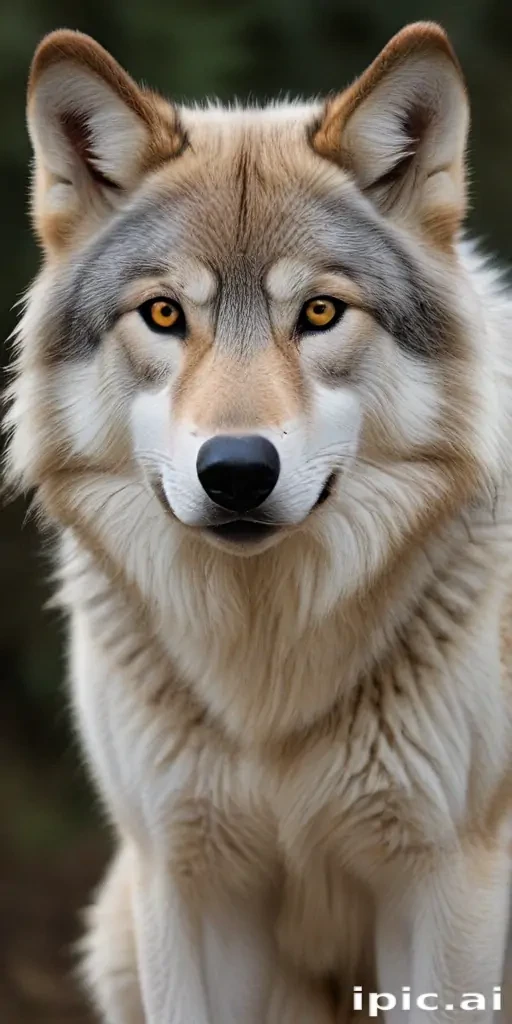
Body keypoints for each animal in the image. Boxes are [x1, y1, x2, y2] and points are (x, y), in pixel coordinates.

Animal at [5, 19, 512, 1023]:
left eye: (319, 311)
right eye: (165, 313)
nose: (237, 471)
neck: (266, 676)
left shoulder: (447, 885)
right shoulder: (187, 880)